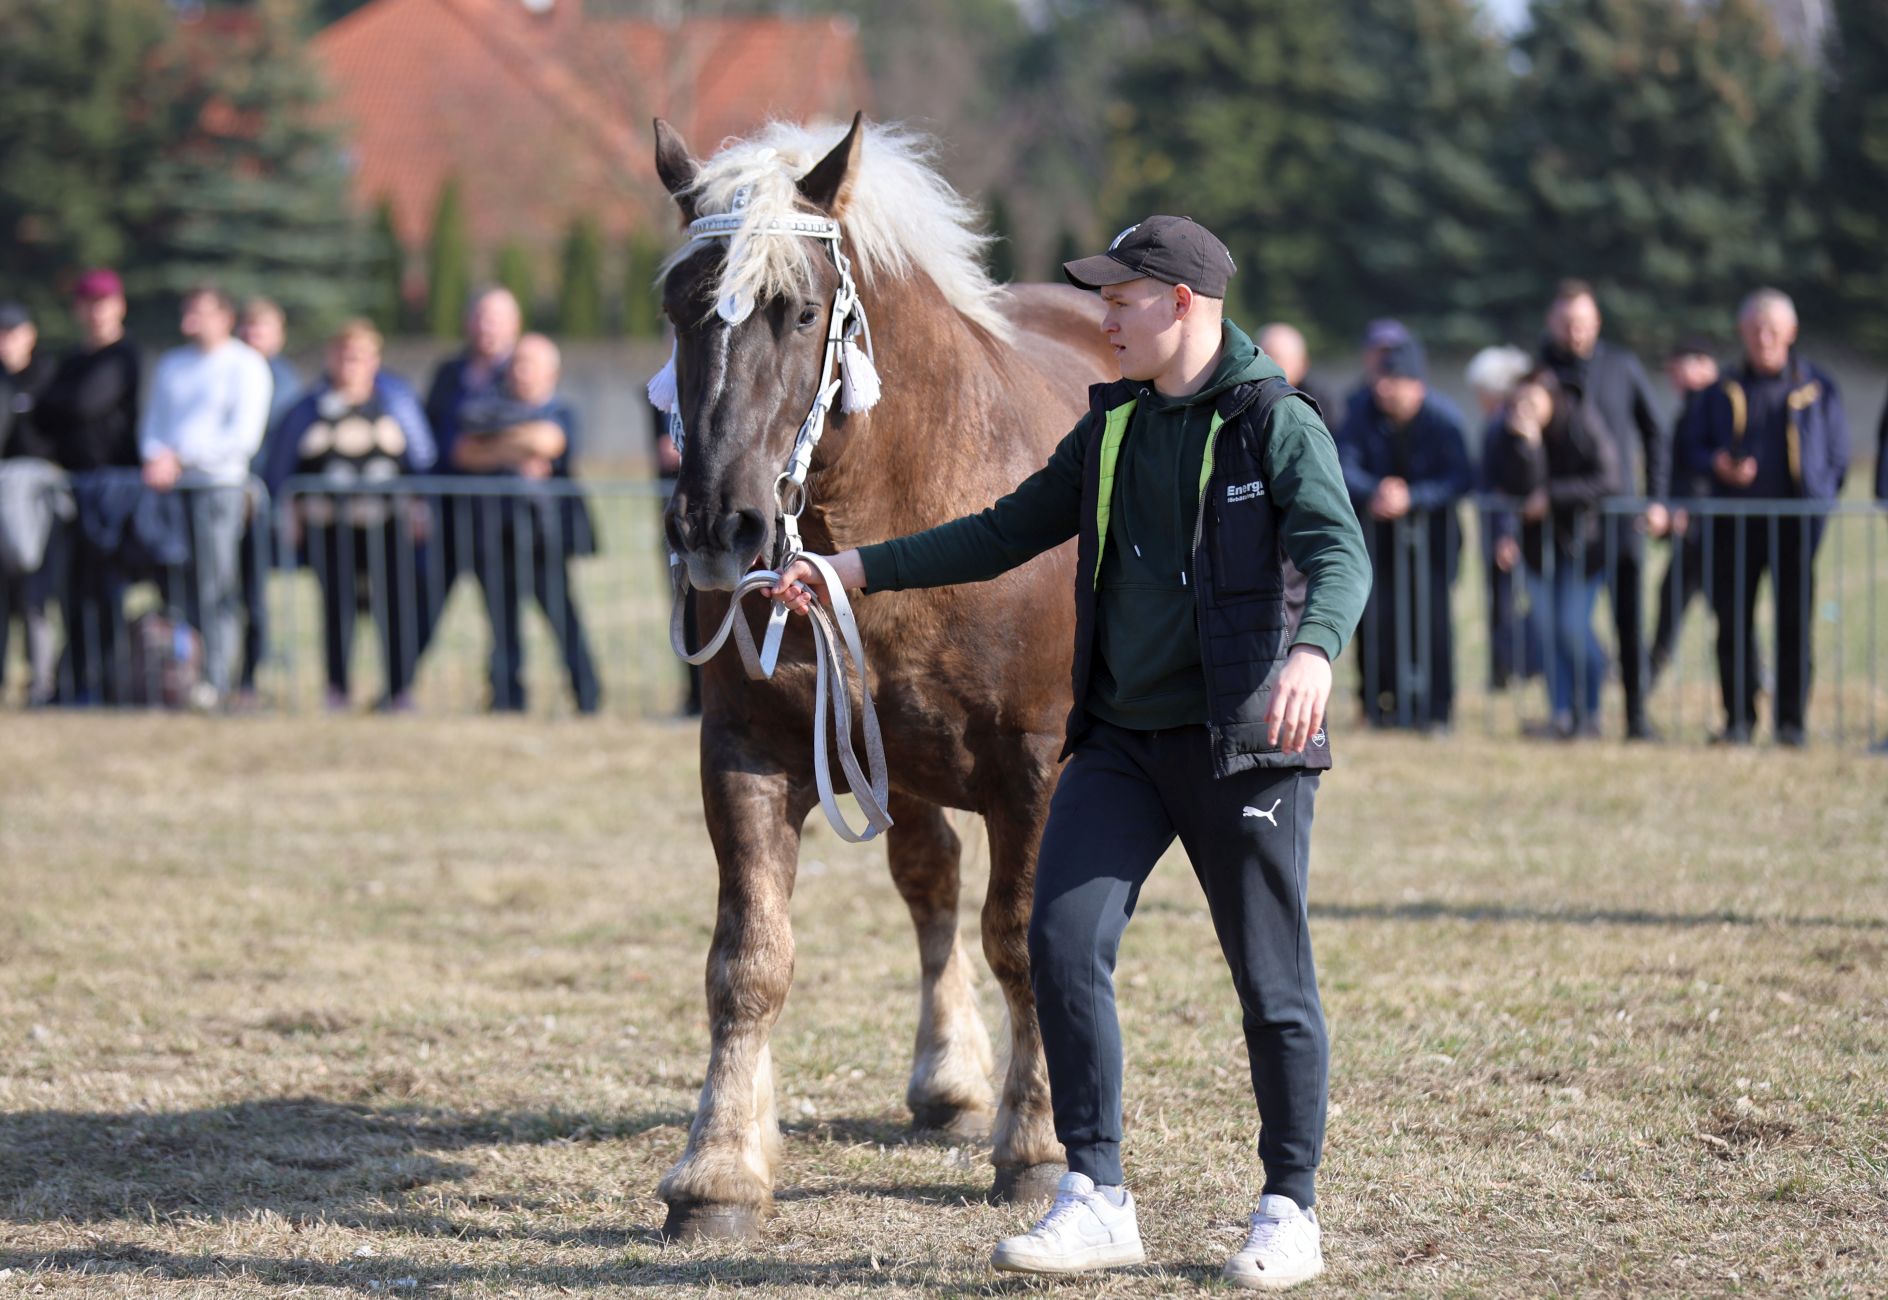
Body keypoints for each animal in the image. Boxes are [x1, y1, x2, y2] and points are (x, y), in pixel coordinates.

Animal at [651, 113, 1116, 1242]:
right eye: (679, 309)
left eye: (801, 310)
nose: (718, 527)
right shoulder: (747, 754)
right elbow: (749, 961)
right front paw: (719, 1166)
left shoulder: (1035, 767)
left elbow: (1024, 940)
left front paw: (1037, 1145)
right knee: (929, 881)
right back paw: (947, 1080)